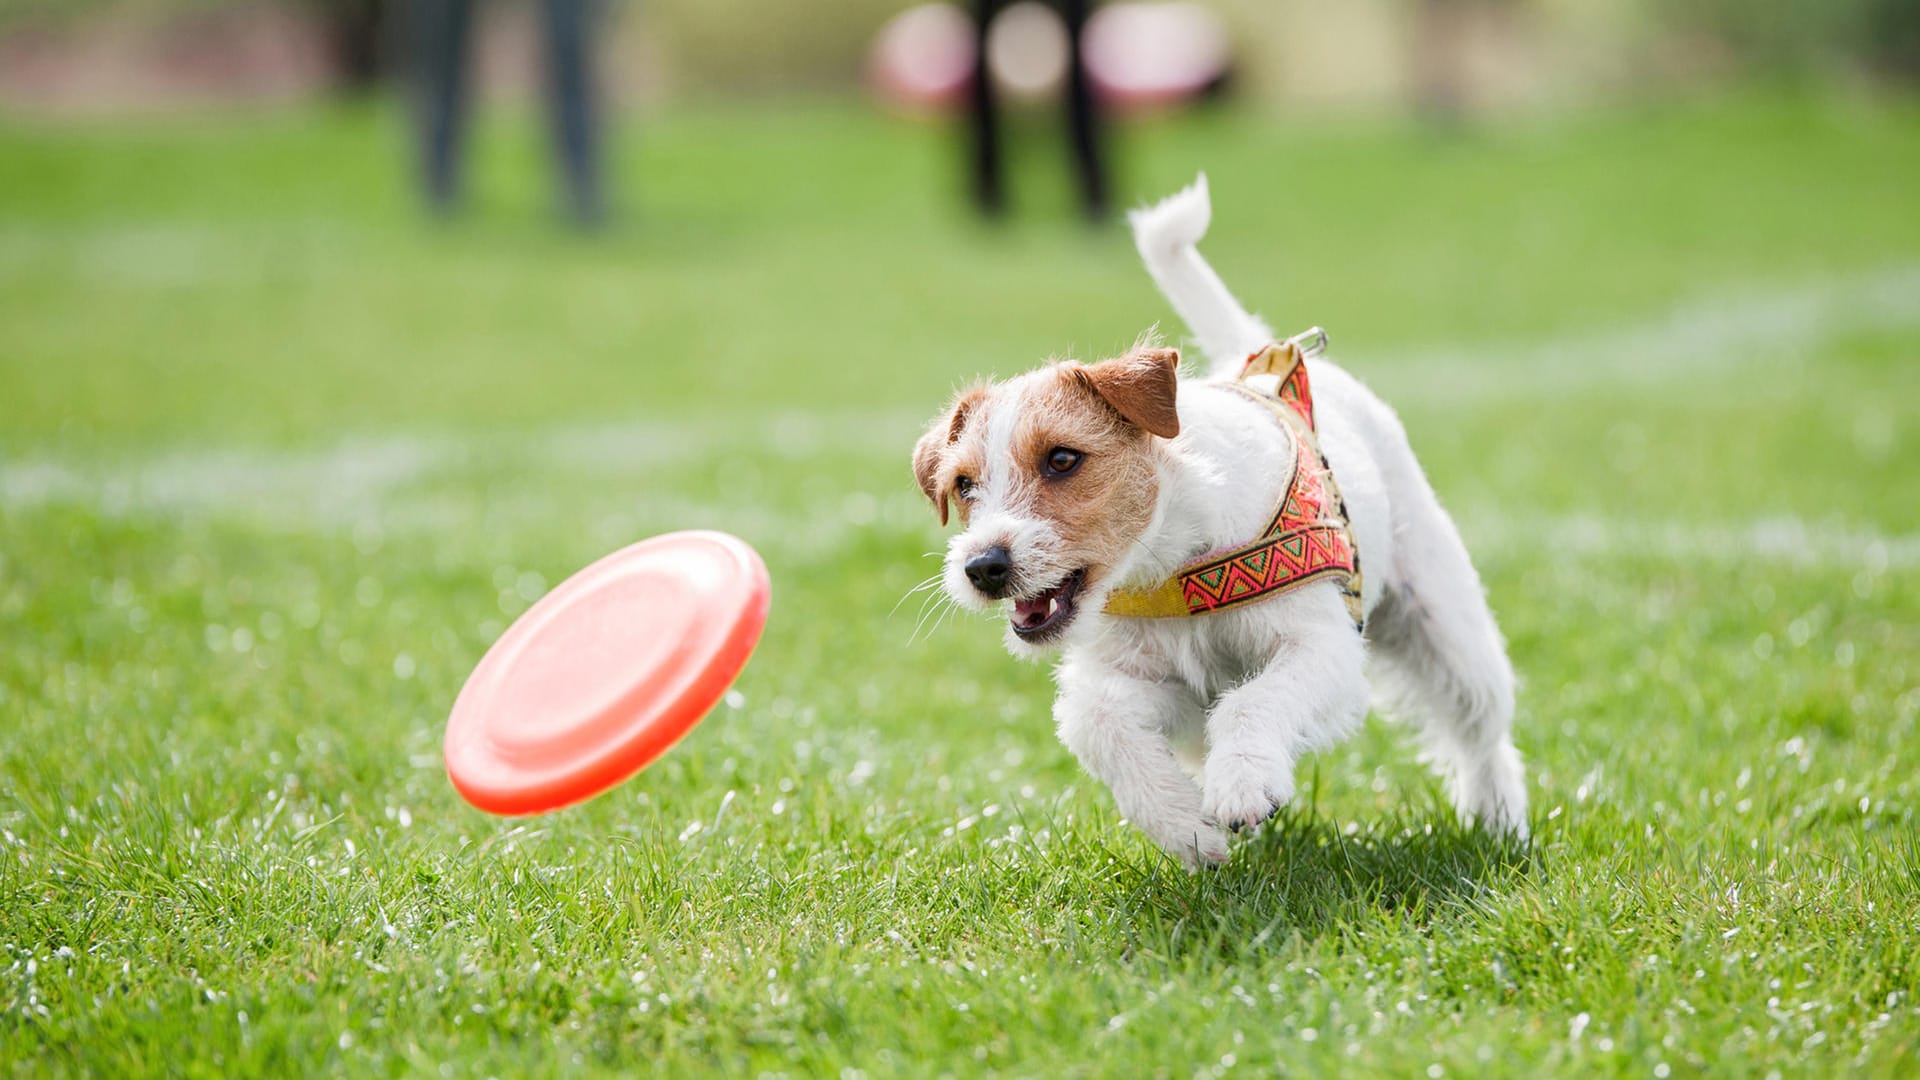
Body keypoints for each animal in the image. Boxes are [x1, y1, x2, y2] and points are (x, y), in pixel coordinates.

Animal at [913, 176, 1528, 864]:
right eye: (964, 485)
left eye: (1063, 458)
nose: (982, 567)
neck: (1173, 565)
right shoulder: (1152, 682)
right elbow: (1097, 721)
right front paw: (1186, 825)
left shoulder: (1321, 647)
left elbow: (1252, 702)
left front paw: (1242, 787)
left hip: (1447, 628)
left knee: (1483, 731)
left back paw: (1498, 820)